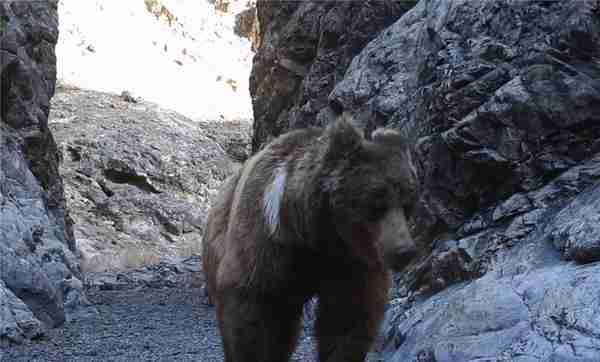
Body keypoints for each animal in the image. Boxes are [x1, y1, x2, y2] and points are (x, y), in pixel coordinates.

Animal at [202, 115, 418, 362]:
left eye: (408, 204)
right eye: (376, 205)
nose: (405, 250)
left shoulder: (351, 263)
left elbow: (348, 318)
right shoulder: (265, 249)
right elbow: (251, 317)